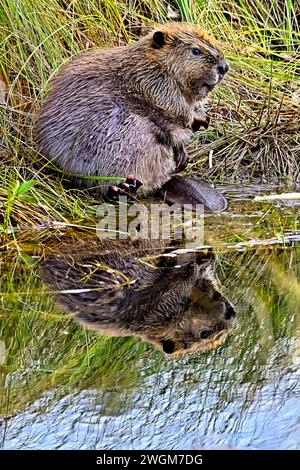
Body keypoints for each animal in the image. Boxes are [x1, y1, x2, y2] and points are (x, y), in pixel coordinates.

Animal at [37, 23, 230, 212]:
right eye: (195, 51)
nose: (224, 67)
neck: (149, 64)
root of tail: (163, 183)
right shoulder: (156, 85)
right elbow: (175, 114)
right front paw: (199, 119)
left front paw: (187, 150)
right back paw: (124, 188)